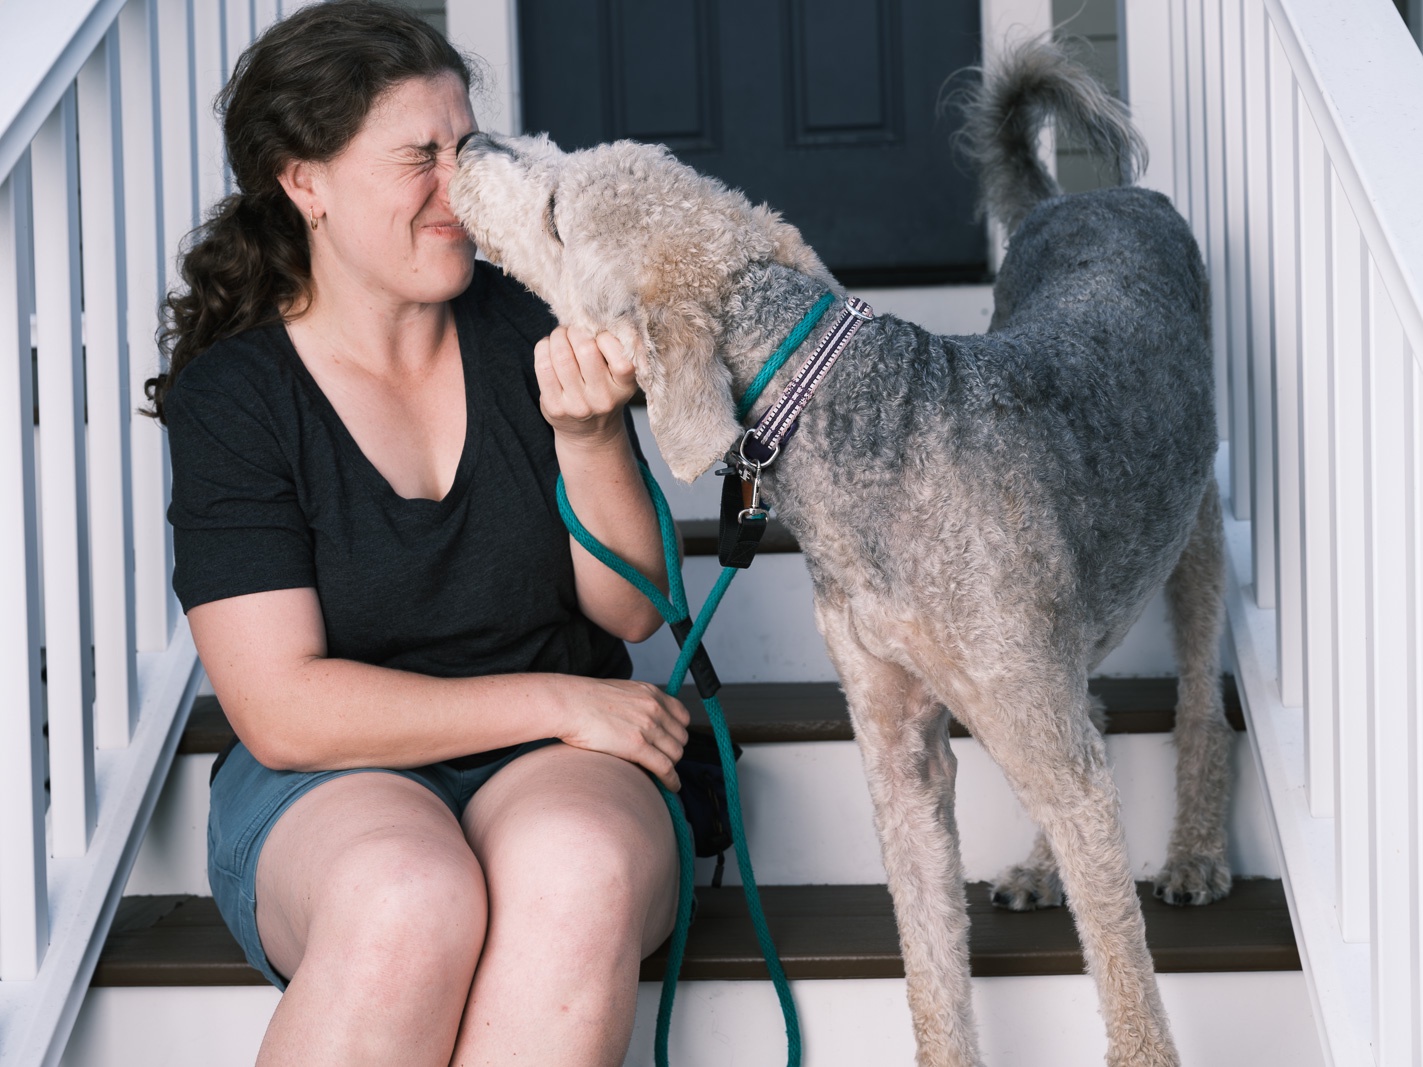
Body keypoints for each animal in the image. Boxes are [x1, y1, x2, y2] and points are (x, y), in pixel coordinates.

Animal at [449, 37, 1229, 1064]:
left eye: (555, 214)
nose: (462, 142)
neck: (841, 421)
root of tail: (1085, 199)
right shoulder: (897, 751)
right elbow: (932, 967)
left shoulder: (1047, 745)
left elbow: (1125, 974)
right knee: (1093, 709)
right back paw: (1038, 867)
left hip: (1193, 532)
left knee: (1197, 699)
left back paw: (1197, 853)